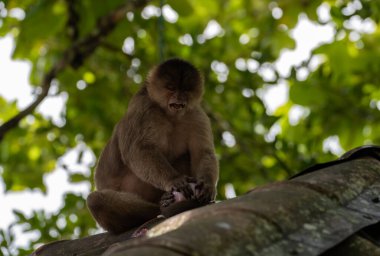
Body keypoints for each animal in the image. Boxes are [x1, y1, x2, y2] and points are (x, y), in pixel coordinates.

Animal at [85, 58, 217, 234]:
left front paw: (208, 185)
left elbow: (203, 152)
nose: (179, 97)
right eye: (171, 88)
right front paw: (174, 179)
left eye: (185, 90)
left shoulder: (195, 113)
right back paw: (159, 207)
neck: (169, 115)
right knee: (96, 200)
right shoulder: (143, 107)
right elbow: (138, 150)